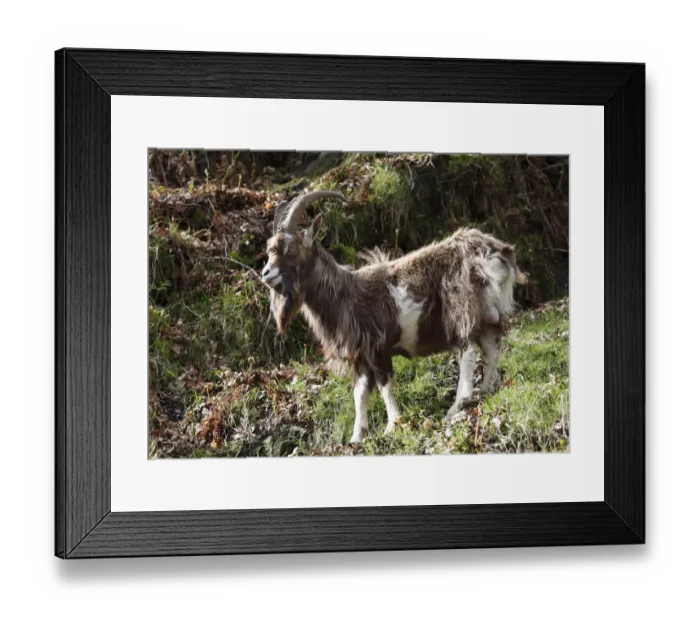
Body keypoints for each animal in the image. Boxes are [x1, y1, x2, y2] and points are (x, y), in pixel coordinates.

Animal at [261, 190, 523, 443]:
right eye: (269, 250)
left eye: (291, 248)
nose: (265, 273)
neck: (346, 295)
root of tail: (497, 252)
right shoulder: (360, 357)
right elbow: (359, 394)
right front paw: (356, 438)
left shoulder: (377, 348)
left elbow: (384, 385)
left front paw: (392, 425)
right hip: (484, 315)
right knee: (491, 349)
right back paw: (486, 390)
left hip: (461, 309)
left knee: (467, 352)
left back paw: (456, 407)